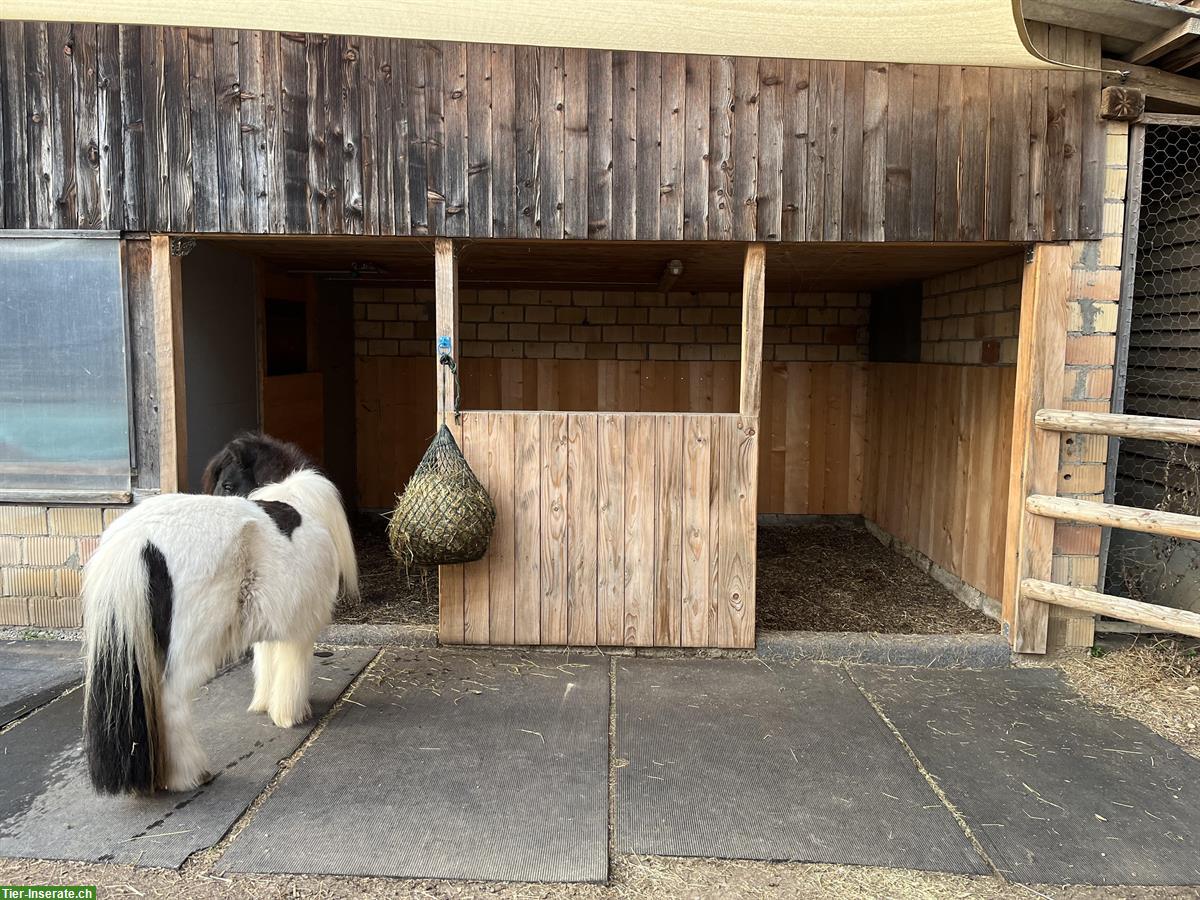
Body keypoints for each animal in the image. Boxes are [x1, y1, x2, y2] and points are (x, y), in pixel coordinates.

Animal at [83, 441, 355, 792]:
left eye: (226, 484)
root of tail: (140, 538)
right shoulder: (300, 630)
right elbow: (291, 669)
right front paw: (290, 715)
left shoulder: (271, 625)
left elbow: (267, 663)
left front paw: (265, 705)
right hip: (191, 647)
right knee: (172, 701)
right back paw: (191, 774)